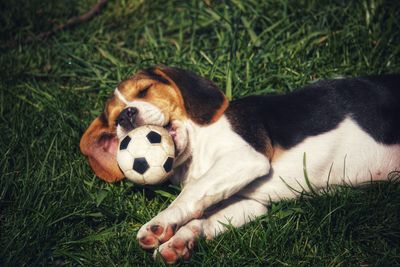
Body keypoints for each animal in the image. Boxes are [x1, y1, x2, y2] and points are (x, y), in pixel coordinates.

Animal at [79, 66, 400, 264]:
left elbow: (191, 193)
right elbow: (203, 218)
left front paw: (161, 224)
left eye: (145, 90)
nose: (125, 117)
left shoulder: (245, 158)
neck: (195, 148)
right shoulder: (251, 202)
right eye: (113, 120)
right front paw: (180, 243)